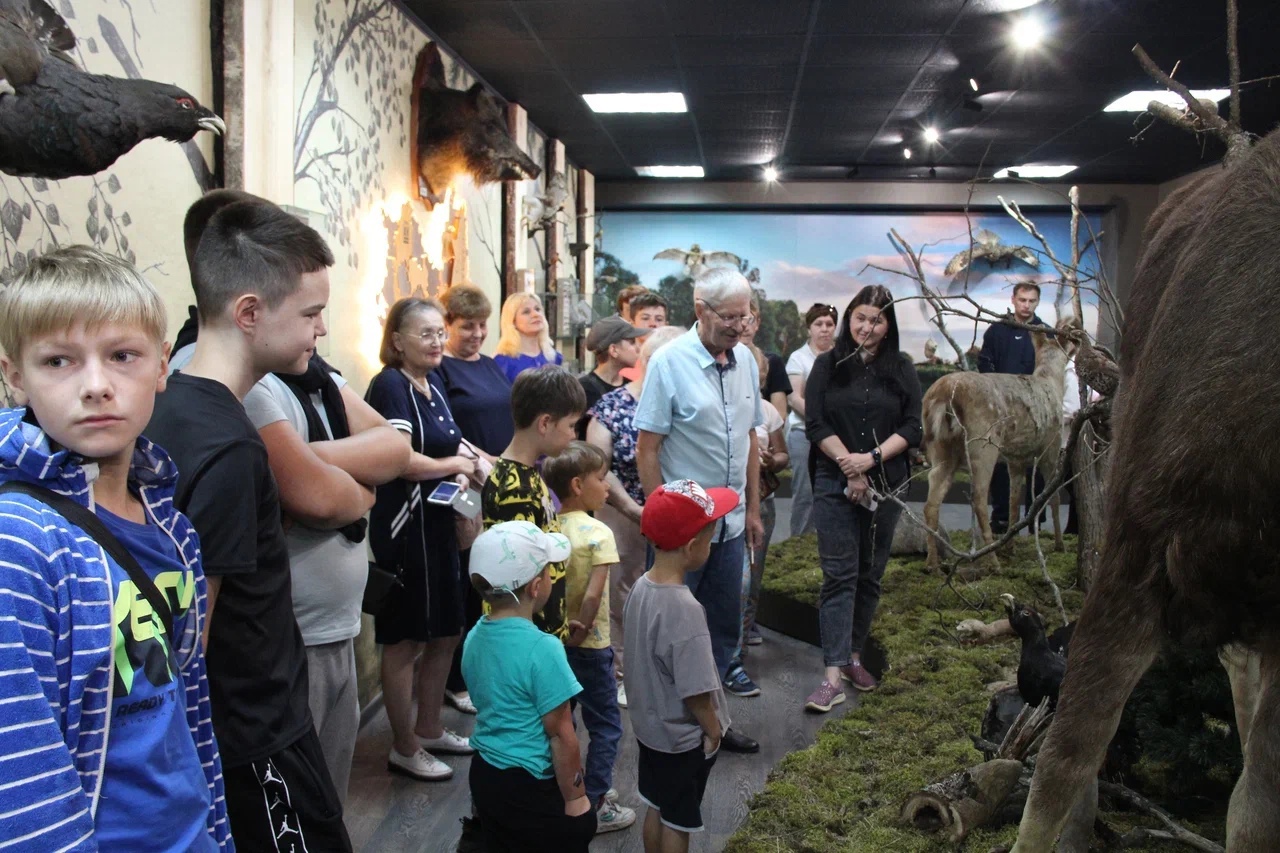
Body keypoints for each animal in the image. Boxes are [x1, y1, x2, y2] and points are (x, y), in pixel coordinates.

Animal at [921, 315, 1080, 568]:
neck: (1051, 383)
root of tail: (944, 394)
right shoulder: (1051, 446)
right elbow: (1052, 497)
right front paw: (1059, 545)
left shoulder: (1016, 458)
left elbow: (1014, 501)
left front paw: (1011, 547)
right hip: (983, 441)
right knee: (978, 497)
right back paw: (993, 561)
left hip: (940, 447)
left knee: (931, 502)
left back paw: (932, 564)